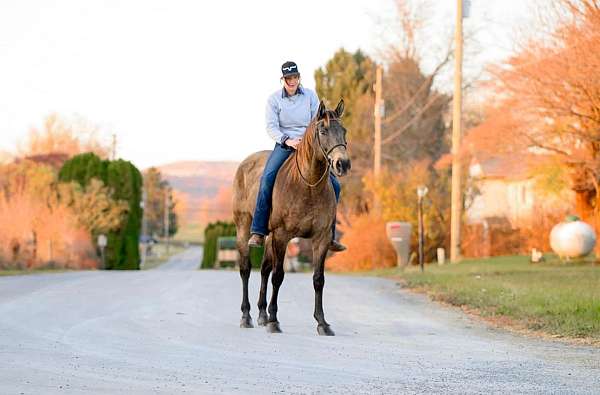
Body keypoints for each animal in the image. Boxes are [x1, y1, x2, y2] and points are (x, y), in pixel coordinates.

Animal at [231, 100, 352, 338]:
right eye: (323, 131)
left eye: (343, 131)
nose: (342, 164)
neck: (308, 186)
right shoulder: (282, 236)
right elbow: (278, 276)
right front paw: (274, 321)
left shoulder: (321, 239)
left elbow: (318, 279)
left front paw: (322, 323)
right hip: (244, 229)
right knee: (246, 269)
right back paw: (246, 316)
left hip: (269, 237)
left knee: (264, 269)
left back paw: (261, 314)